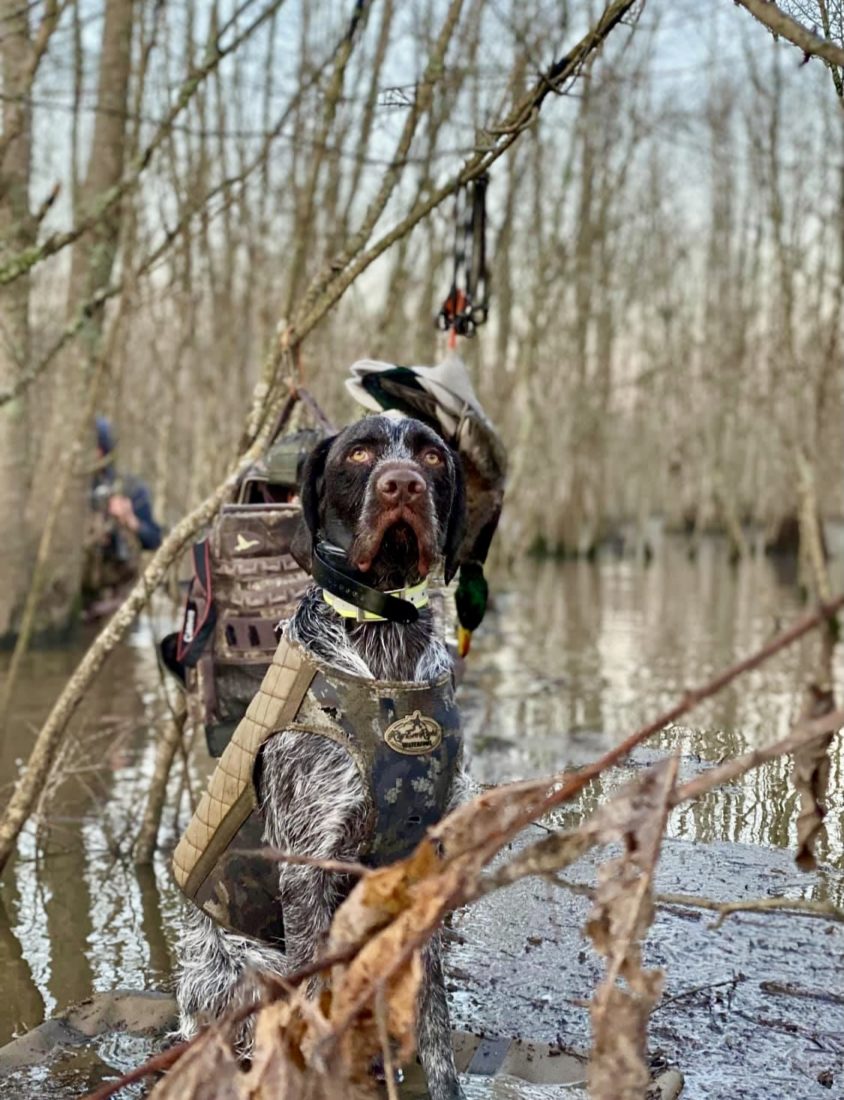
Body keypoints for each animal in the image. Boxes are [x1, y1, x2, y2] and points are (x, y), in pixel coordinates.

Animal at [176, 413, 468, 1100]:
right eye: (358, 454)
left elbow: (436, 1031)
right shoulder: (308, 867)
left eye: (432, 456)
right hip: (245, 971)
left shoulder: (429, 865)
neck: (386, 636)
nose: (402, 485)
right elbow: (313, 1007)